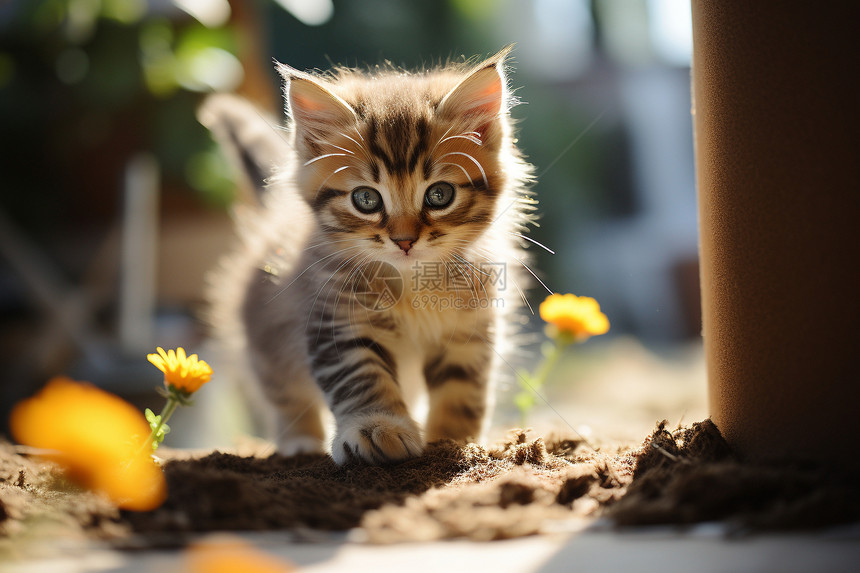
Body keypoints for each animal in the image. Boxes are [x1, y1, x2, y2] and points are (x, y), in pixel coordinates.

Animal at [204, 47, 536, 462]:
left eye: (439, 195)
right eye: (366, 199)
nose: (405, 241)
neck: (412, 282)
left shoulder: (471, 328)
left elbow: (464, 389)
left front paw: (455, 443)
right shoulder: (336, 320)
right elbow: (361, 377)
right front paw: (379, 428)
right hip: (266, 341)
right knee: (284, 395)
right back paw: (299, 442)